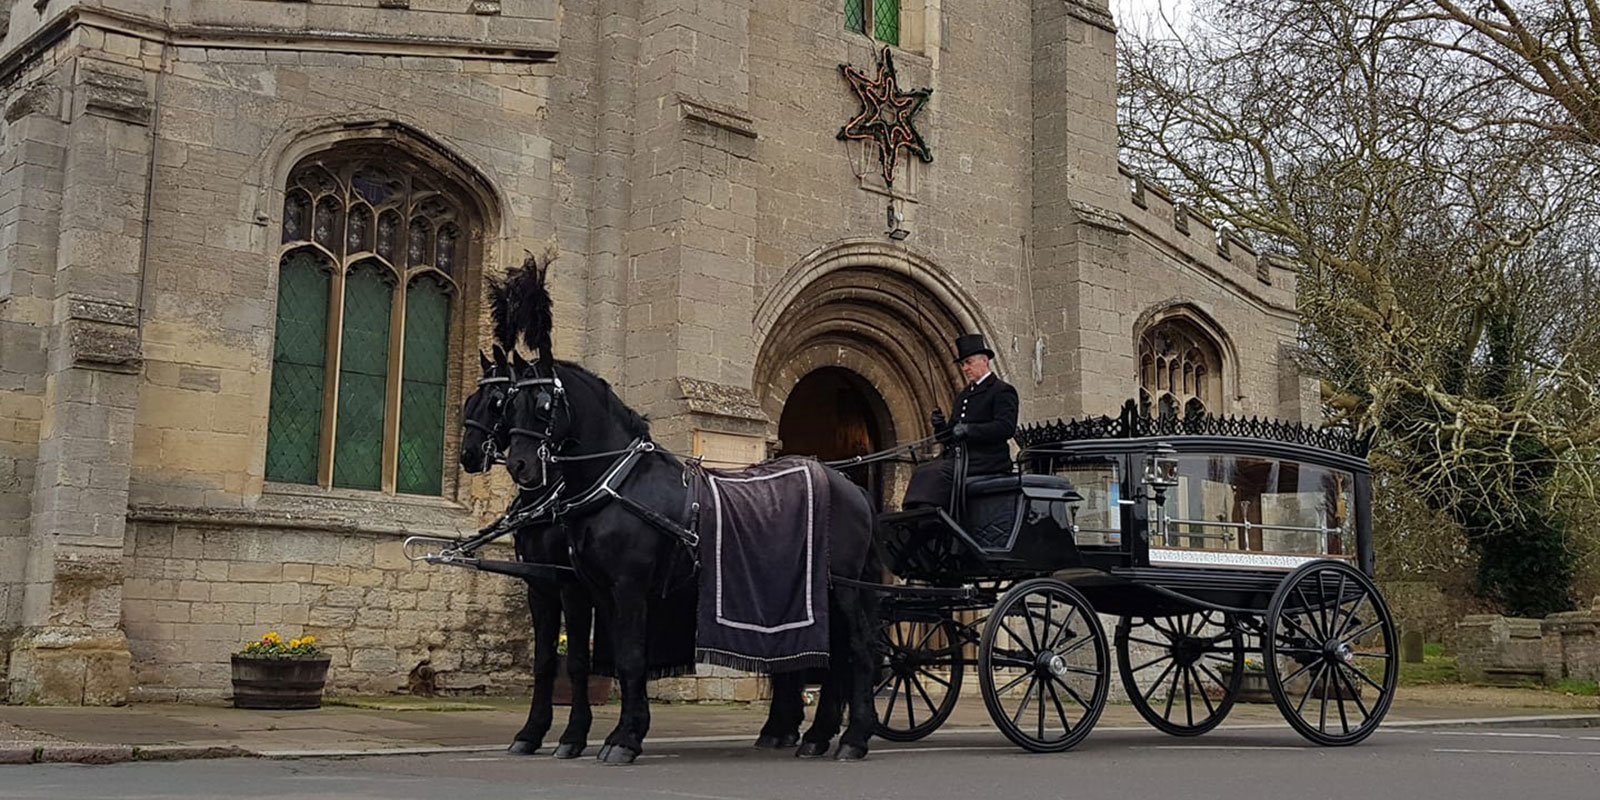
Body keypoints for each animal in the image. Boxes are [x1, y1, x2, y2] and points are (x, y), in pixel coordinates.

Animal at [499, 353, 883, 764]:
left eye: (543, 405)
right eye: (510, 404)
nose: (519, 465)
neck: (619, 484)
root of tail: (851, 486)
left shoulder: (622, 587)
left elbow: (630, 658)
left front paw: (623, 739)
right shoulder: (591, 590)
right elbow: (593, 658)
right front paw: (597, 734)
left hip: (843, 589)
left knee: (858, 650)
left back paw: (854, 738)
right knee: (835, 654)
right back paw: (818, 735)